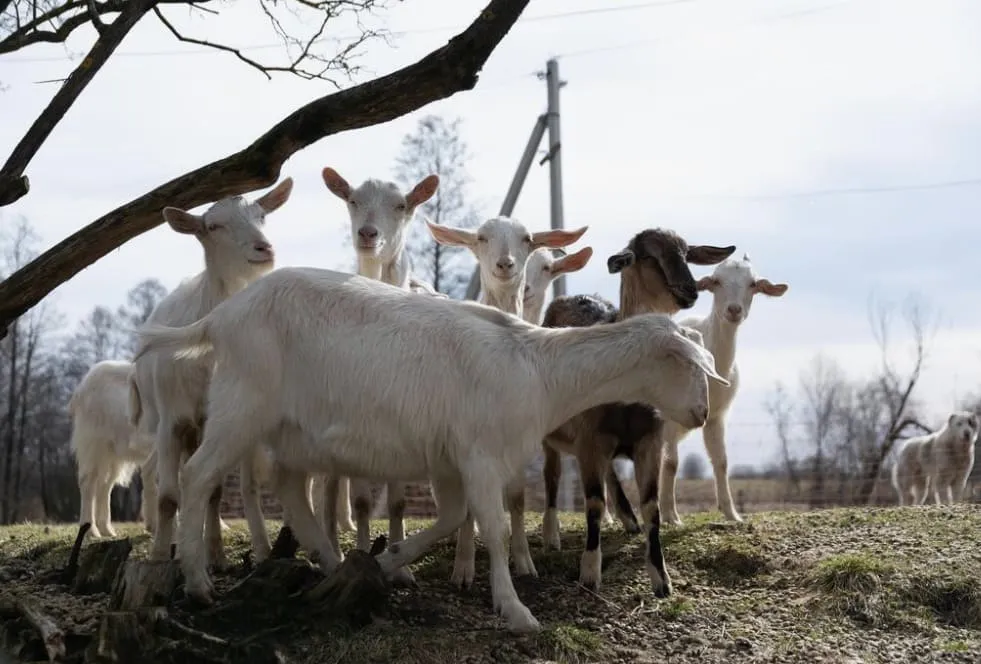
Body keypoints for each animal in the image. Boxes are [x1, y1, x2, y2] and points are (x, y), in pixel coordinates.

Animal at [134, 266, 729, 633]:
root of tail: (221, 317)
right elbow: (491, 527)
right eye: (688, 368)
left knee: (291, 491)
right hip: (243, 404)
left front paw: (391, 560)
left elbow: (452, 519)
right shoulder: (481, 454)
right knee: (197, 475)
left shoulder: (452, 460)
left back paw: (333, 564)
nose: (701, 414)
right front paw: (515, 611)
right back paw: (199, 583)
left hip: (290, 431)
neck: (538, 369)